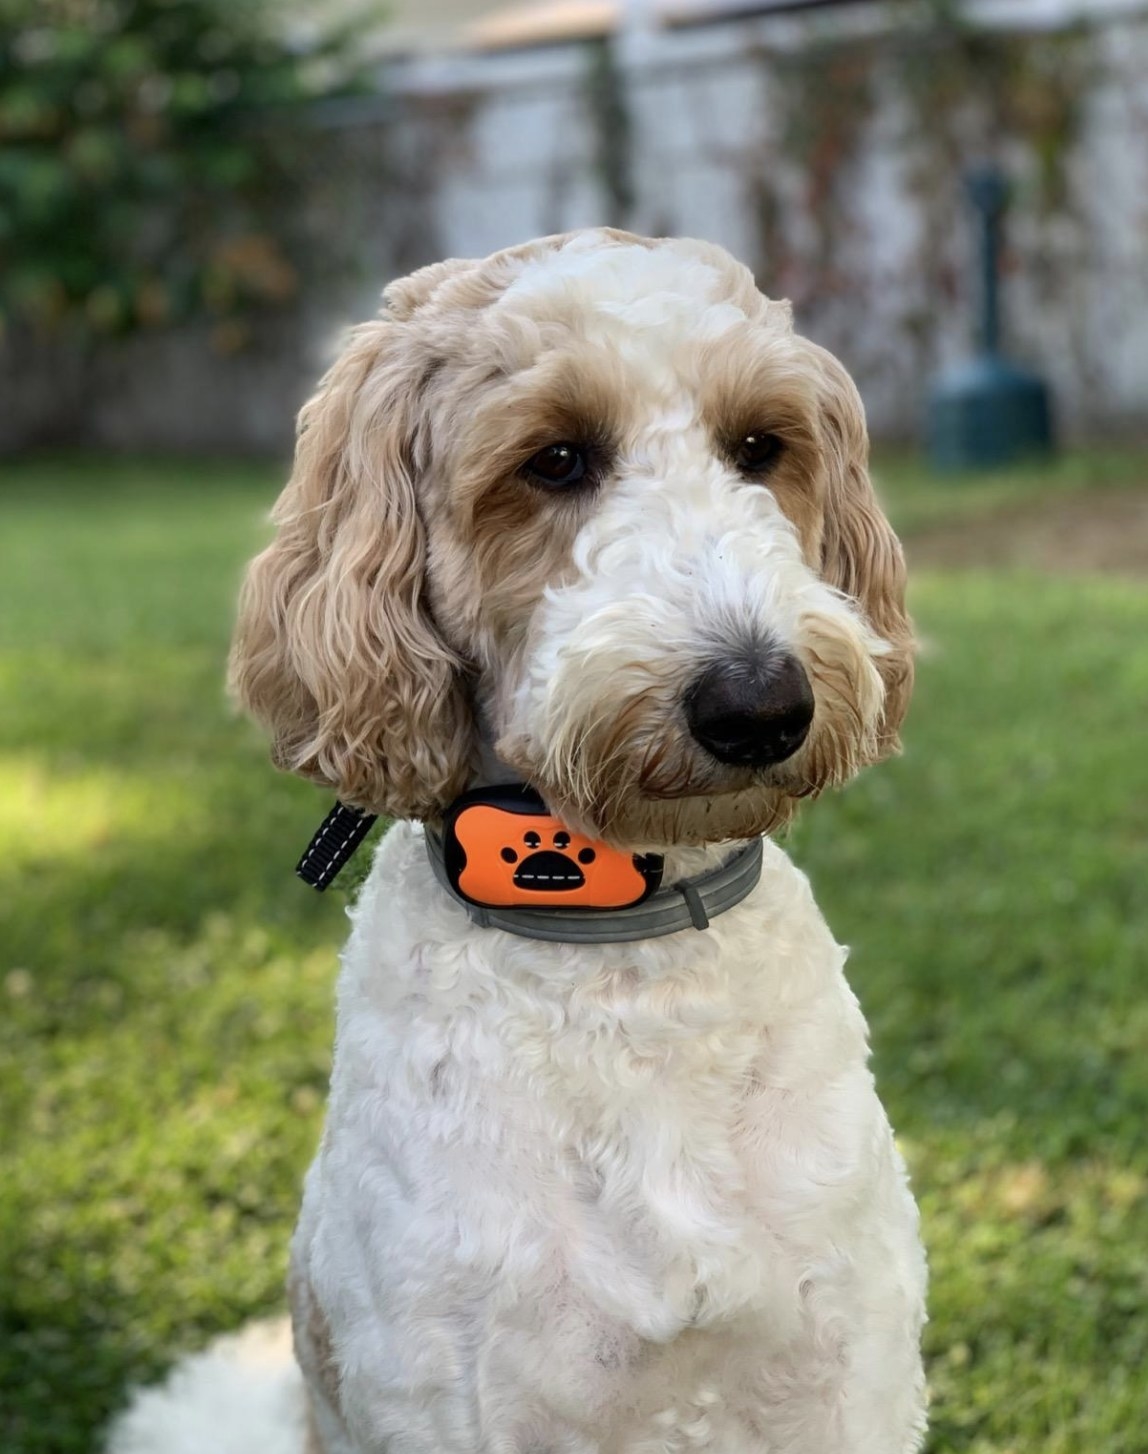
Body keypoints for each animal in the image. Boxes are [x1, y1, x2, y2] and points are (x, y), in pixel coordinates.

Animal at [107, 232, 930, 1454]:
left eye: (758, 447)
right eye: (555, 459)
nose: (759, 705)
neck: (622, 953)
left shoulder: (846, 1374)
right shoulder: (451, 1399)